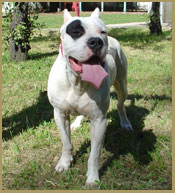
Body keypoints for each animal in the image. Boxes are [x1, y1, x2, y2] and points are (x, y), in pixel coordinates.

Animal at [47, 8, 132, 188]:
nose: (96, 41)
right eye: (76, 32)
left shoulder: (99, 121)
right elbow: (66, 142)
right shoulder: (59, 114)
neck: (77, 81)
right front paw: (64, 163)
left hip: (122, 85)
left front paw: (93, 178)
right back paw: (77, 123)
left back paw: (125, 123)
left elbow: (94, 154)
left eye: (102, 32)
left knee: (121, 105)